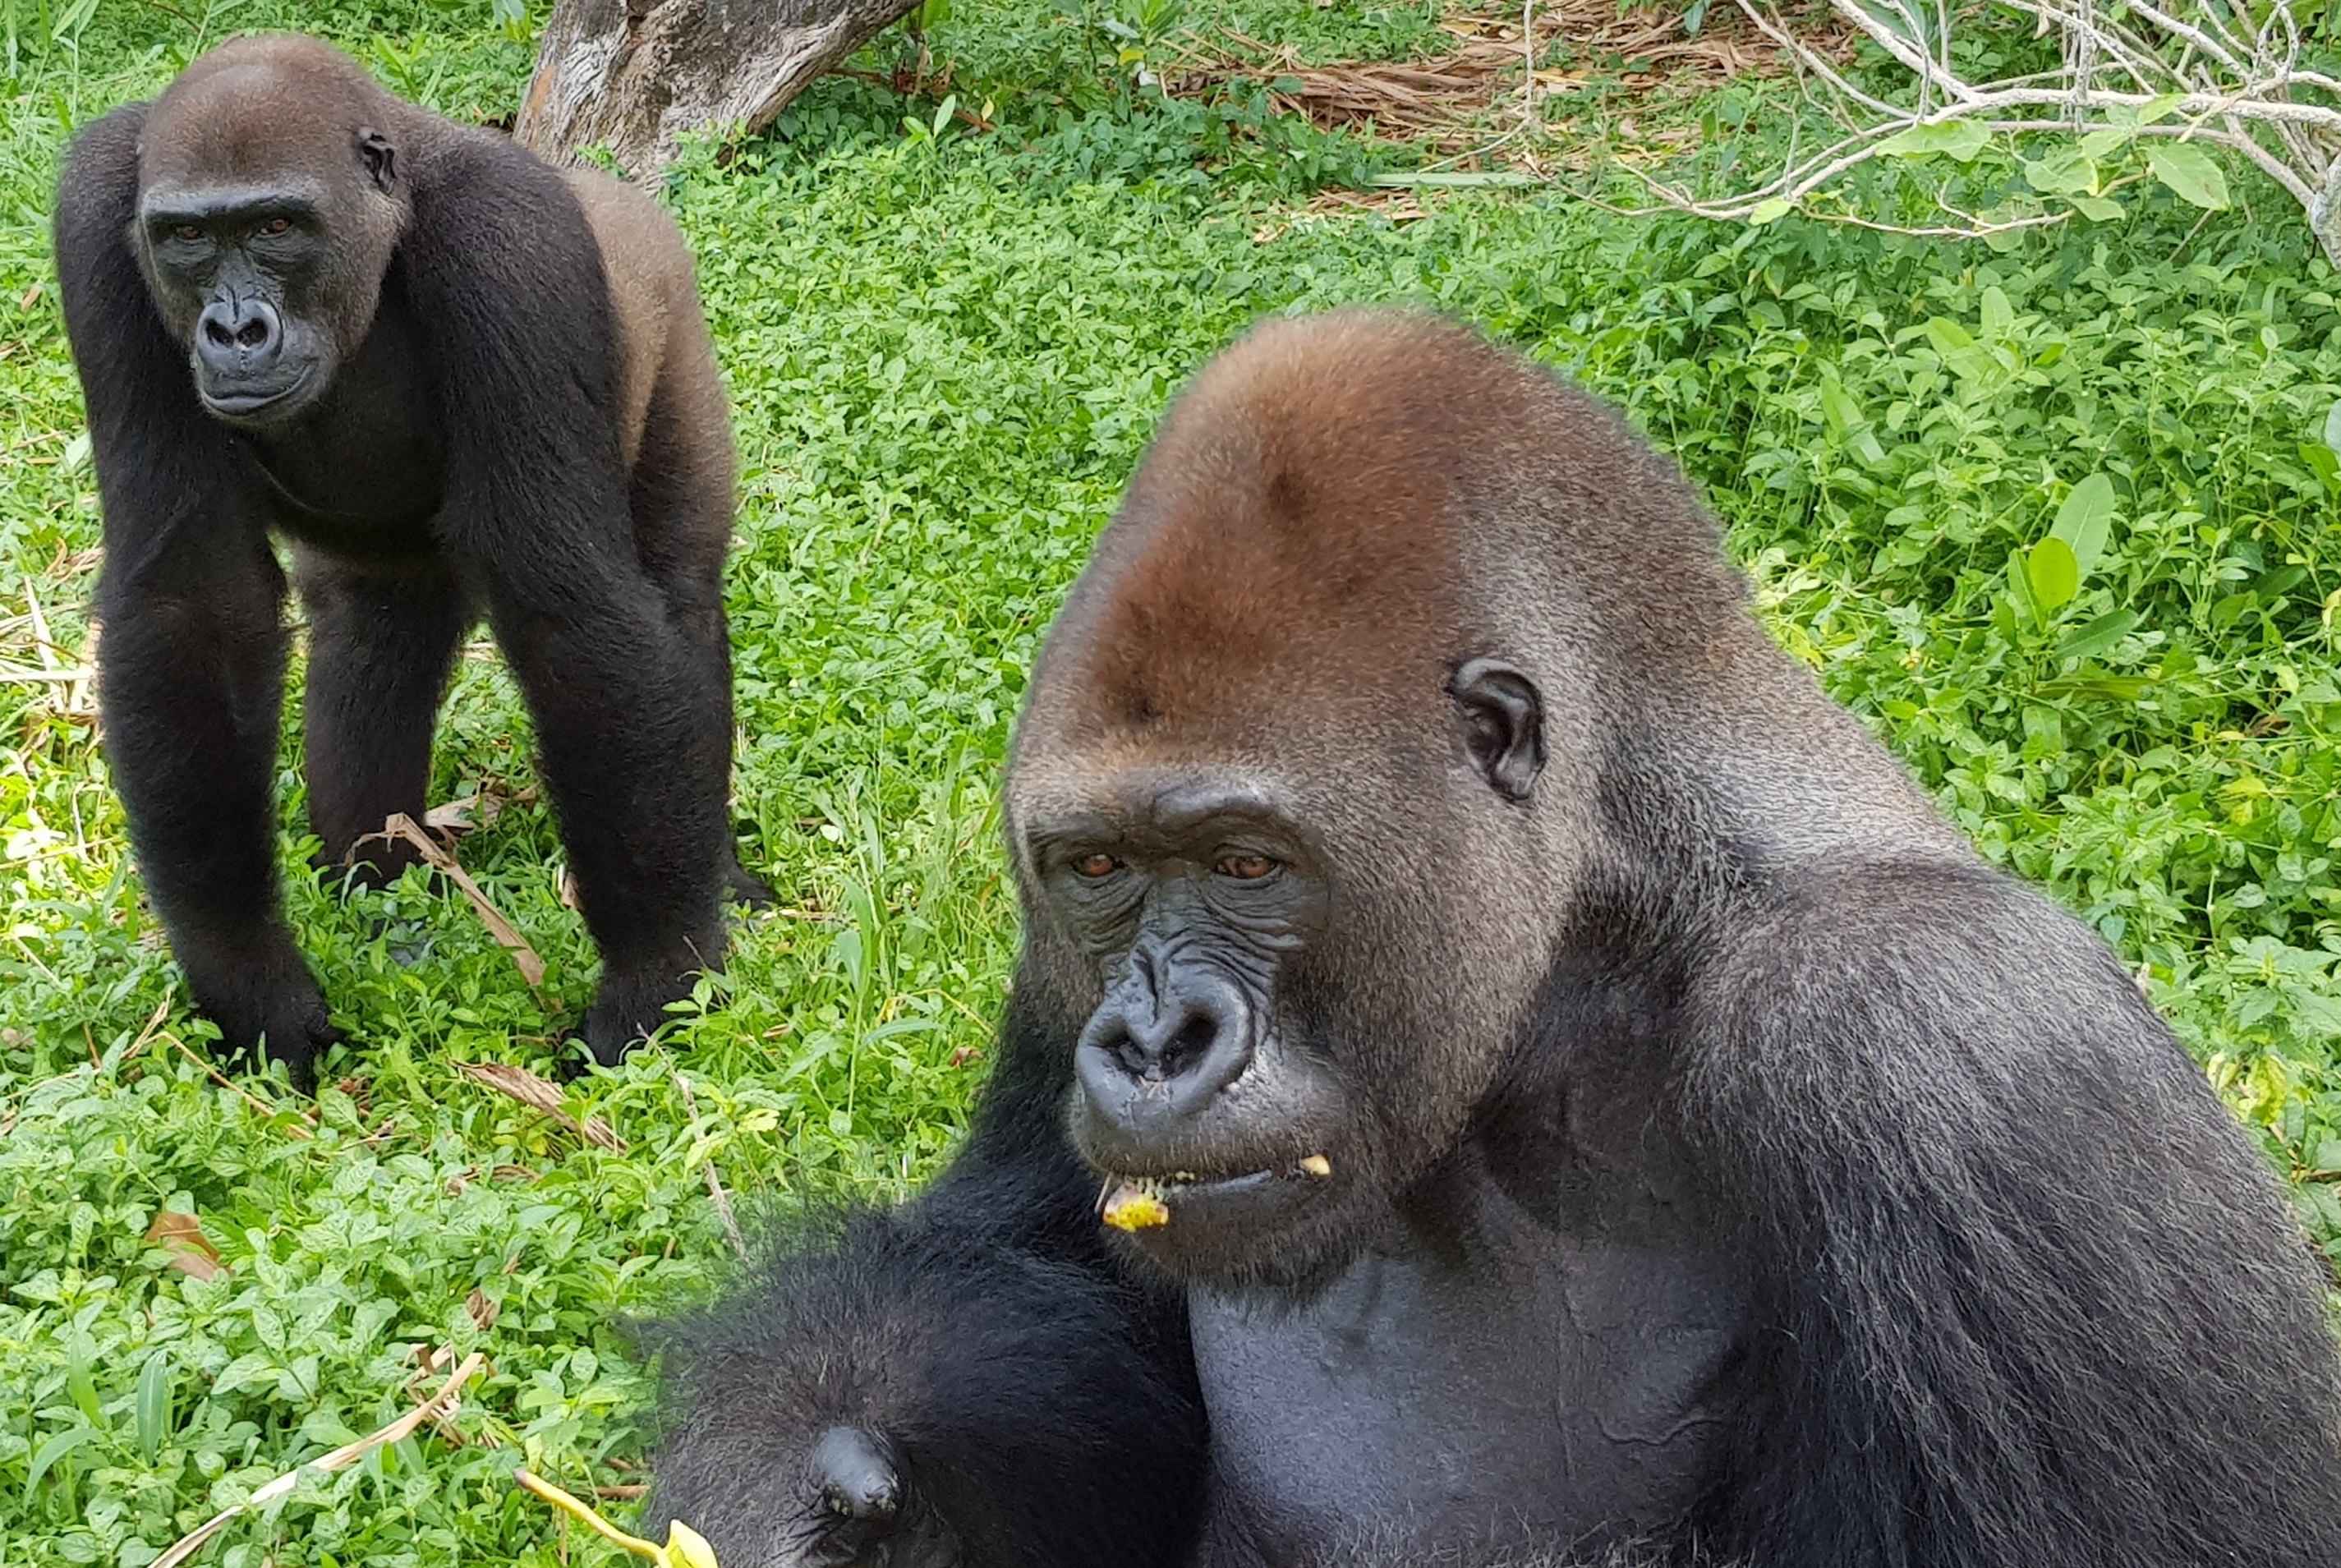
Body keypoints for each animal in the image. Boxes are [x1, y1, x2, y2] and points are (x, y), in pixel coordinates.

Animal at [53, 39, 767, 1095]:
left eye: (276, 227)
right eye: (186, 239)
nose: (234, 331)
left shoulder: (510, 244)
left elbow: (572, 613)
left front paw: (654, 982)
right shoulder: (97, 219)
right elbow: (192, 604)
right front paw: (248, 986)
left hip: (670, 300)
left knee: (676, 598)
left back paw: (716, 875)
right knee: (375, 641)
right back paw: (378, 881)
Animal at [646, 310, 2341, 1568]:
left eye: (1252, 861)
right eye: (1099, 866)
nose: (1151, 1039)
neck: (1604, 900)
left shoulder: (1945, 1031)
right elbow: (1029, 1278)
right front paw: (827, 1461)